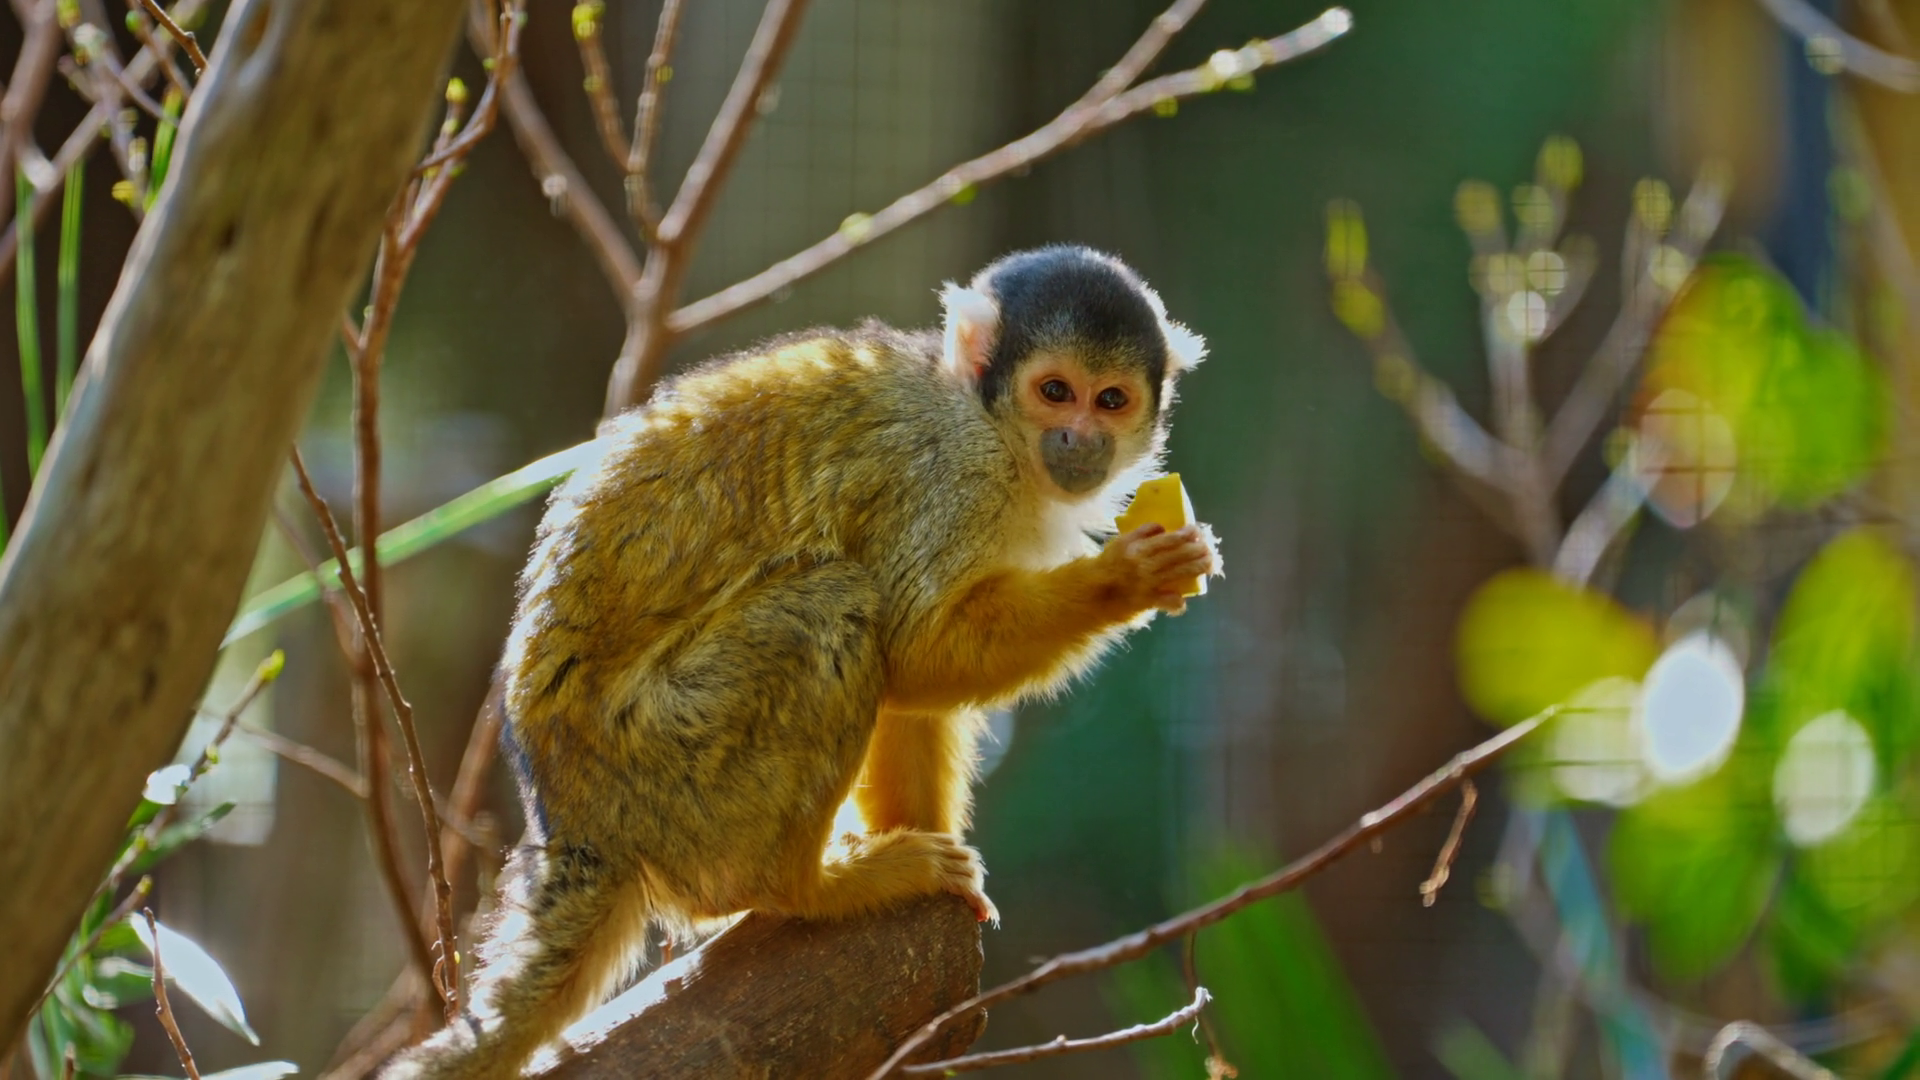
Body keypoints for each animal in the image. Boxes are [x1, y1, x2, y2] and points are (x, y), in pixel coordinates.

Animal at [381, 245, 1220, 1079]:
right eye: (1054, 392)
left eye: (1109, 399)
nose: (1081, 439)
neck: (989, 425)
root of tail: (576, 821)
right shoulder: (947, 472)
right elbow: (914, 644)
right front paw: (1124, 581)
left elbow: (913, 690)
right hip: (665, 759)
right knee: (837, 602)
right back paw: (804, 887)